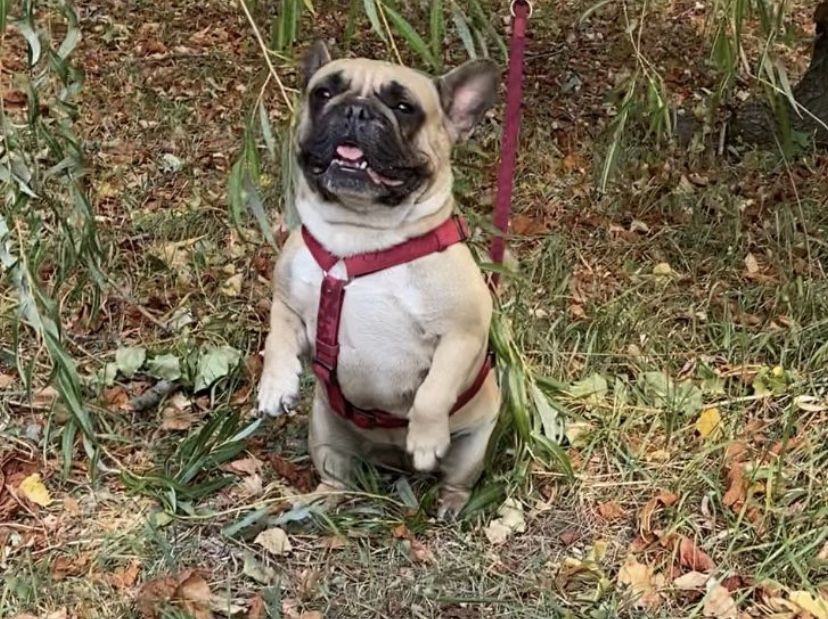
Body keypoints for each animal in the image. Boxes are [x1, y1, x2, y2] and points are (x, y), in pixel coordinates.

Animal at [257, 41, 501, 516]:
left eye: (404, 107)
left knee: (459, 477)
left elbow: (433, 392)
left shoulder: (462, 335)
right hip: (326, 434)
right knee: (337, 476)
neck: (359, 240)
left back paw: (450, 503)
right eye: (323, 93)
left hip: (475, 445)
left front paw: (425, 439)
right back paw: (319, 501)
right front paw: (275, 386)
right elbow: (276, 338)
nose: (355, 110)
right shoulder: (289, 303)